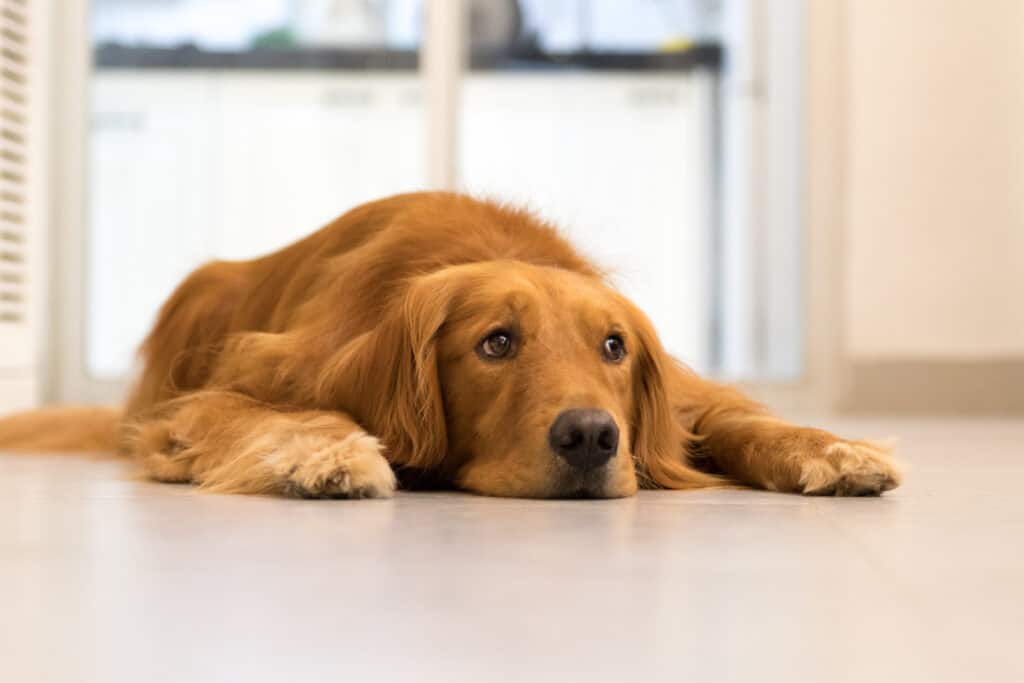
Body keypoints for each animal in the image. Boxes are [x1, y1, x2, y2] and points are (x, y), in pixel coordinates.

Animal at [0, 192, 897, 497]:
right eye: (495, 343)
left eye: (614, 347)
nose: (591, 437)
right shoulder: (246, 380)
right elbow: (264, 413)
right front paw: (327, 451)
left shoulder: (679, 395)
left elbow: (740, 418)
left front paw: (835, 447)